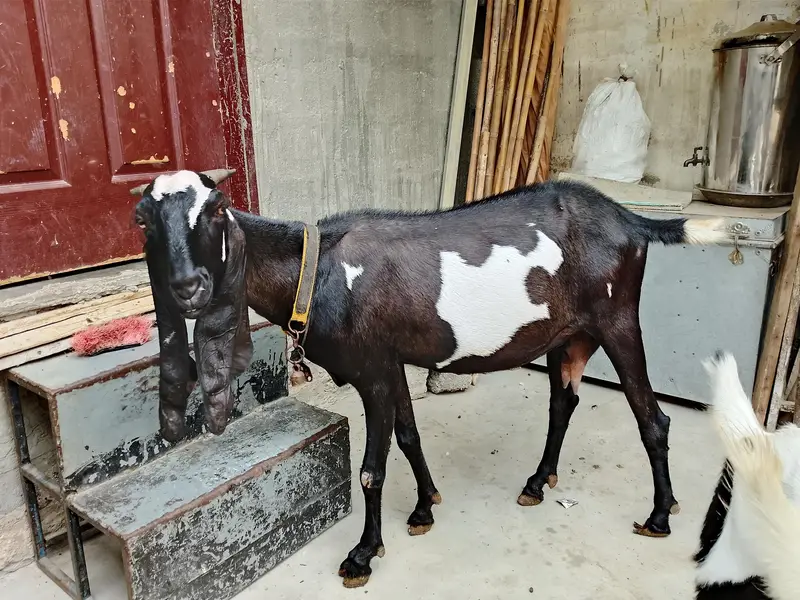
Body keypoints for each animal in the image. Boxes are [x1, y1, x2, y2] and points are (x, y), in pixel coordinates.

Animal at [132, 169, 726, 588]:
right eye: (144, 219)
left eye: (215, 210)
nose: (188, 286)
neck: (317, 270)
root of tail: (628, 219)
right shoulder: (391, 363)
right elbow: (410, 435)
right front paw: (424, 507)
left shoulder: (371, 370)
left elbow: (371, 470)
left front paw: (363, 554)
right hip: (568, 337)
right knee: (563, 404)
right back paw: (538, 482)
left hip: (618, 321)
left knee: (653, 418)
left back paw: (659, 514)